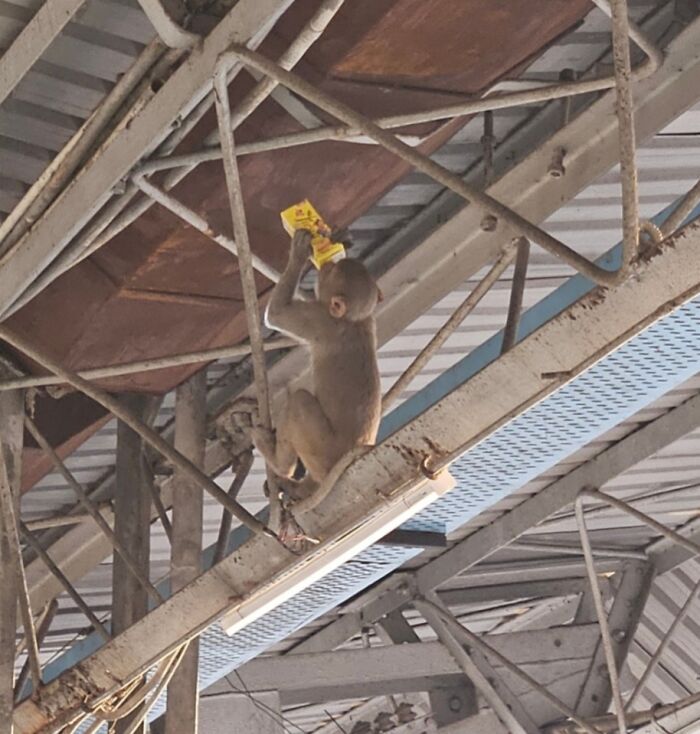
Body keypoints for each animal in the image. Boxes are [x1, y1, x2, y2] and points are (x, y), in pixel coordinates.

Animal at [252, 229, 382, 503]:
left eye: (330, 272)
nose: (326, 264)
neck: (354, 320)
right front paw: (341, 239)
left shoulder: (318, 320)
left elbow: (277, 314)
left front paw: (299, 251)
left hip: (322, 451)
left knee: (299, 401)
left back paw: (277, 461)